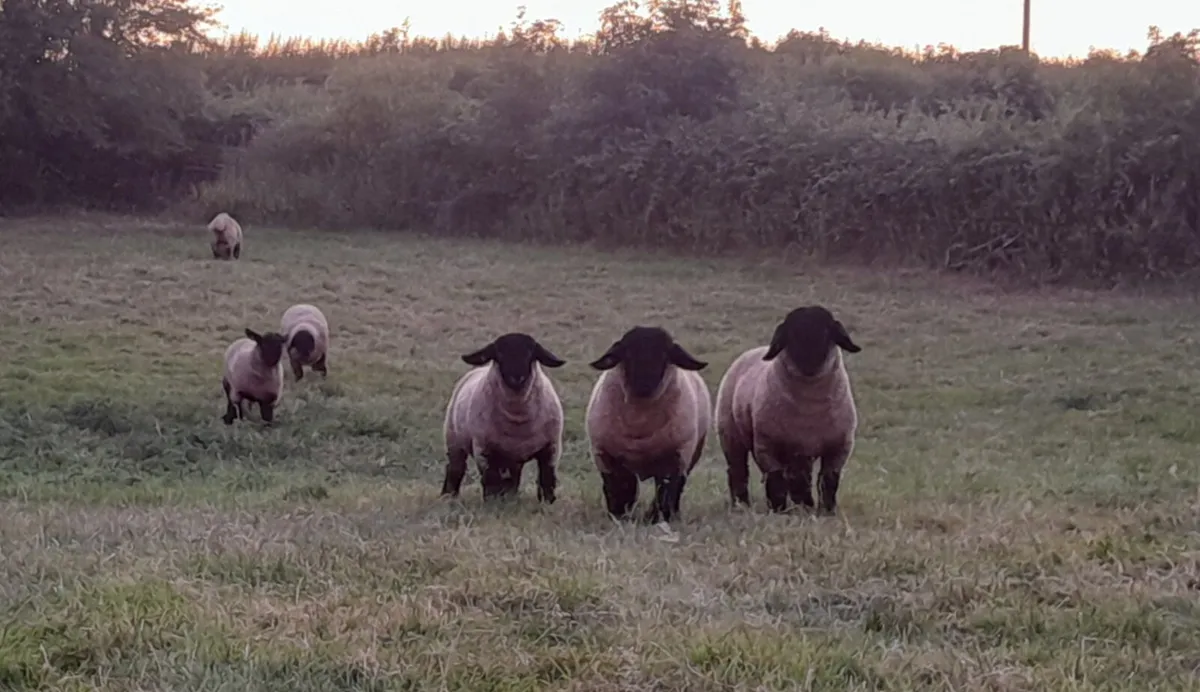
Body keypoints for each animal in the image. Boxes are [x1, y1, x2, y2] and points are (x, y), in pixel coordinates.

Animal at [441, 332, 567, 503]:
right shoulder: (484, 450)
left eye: (530, 353)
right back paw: (448, 496)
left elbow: (547, 479)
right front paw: (492, 503)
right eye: (499, 353)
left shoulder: (551, 449)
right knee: (455, 469)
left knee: (512, 479)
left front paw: (548, 503)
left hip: (512, 457)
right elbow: (491, 480)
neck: (517, 417)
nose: (516, 377)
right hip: (454, 441)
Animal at [584, 326, 711, 523]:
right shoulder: (608, 458)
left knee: (674, 489)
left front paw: (658, 518)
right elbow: (620, 490)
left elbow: (665, 492)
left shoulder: (674, 459)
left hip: (692, 453)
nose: (644, 384)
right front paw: (620, 517)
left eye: (665, 354)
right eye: (627, 352)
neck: (640, 423)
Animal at [714, 305, 862, 516]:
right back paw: (741, 504)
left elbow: (828, 480)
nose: (809, 362)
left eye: (827, 331)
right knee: (738, 471)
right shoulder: (767, 446)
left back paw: (804, 504)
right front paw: (778, 510)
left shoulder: (839, 446)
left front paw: (826, 510)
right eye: (791, 334)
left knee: (800, 478)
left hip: (798, 452)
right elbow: (775, 480)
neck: (810, 408)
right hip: (731, 435)